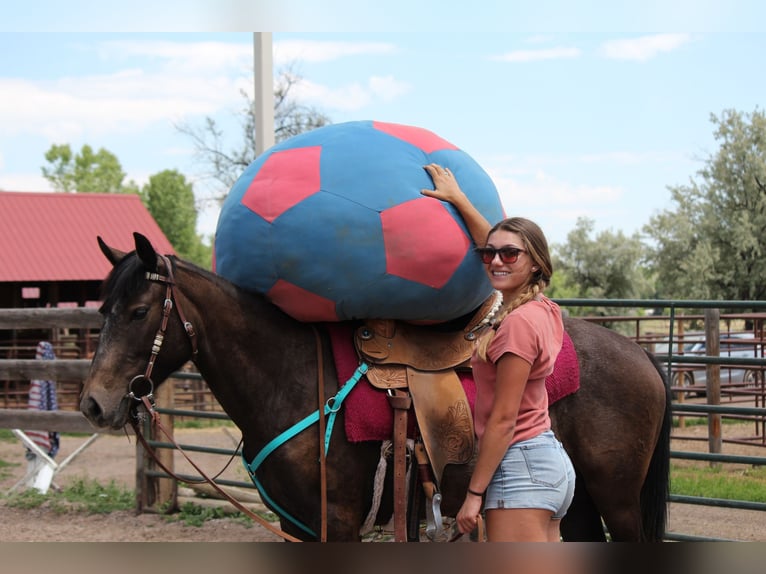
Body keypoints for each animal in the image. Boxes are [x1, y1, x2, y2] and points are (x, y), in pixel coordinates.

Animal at [80, 232, 671, 542]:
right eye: (102, 310)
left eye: (138, 311)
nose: (94, 404)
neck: (290, 379)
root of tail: (640, 352)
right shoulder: (298, 526)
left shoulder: (338, 526)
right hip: (576, 502)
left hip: (618, 498)